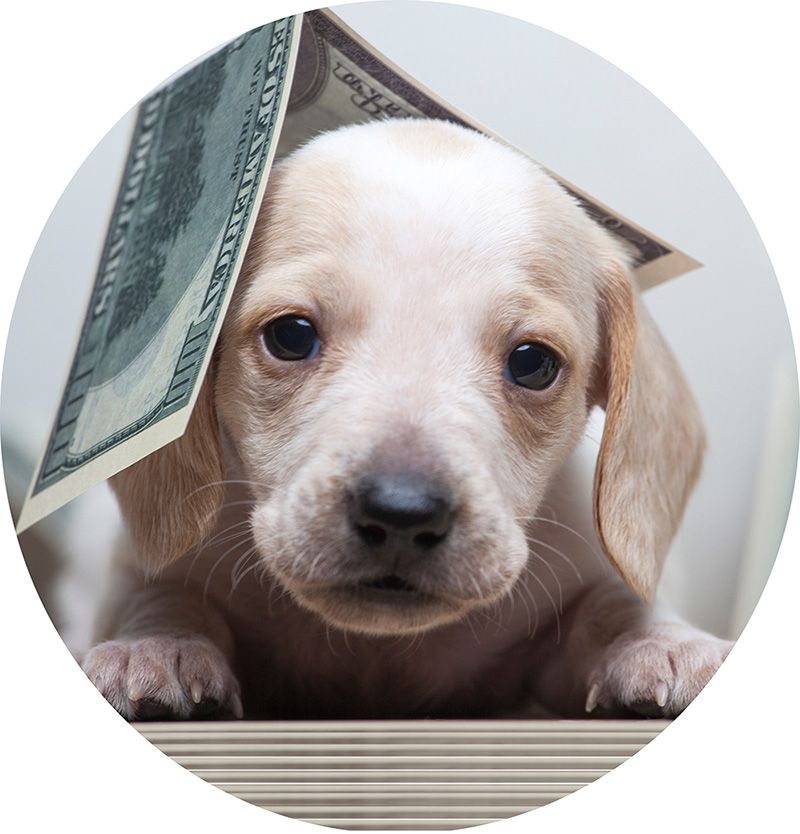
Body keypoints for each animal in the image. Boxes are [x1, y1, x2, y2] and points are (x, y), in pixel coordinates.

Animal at [81, 120, 732, 720]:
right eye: (290, 336)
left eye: (534, 363)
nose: (401, 512)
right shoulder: (135, 572)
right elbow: (165, 595)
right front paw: (157, 646)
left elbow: (609, 607)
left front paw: (664, 644)